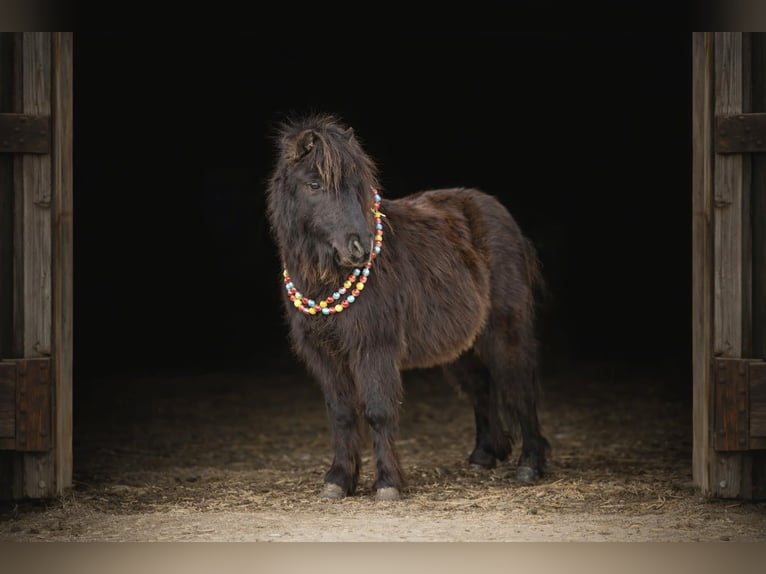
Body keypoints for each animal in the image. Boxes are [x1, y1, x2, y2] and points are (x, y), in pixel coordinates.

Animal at [265, 113, 549, 501]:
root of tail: (502, 217)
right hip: (460, 346)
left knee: (520, 386)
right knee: (481, 388)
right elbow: (341, 414)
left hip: (506, 329)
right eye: (314, 185)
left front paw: (387, 484)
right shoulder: (324, 354)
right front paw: (338, 481)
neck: (324, 279)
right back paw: (484, 456)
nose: (359, 249)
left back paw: (530, 465)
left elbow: (378, 411)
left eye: (358, 186)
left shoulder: (374, 347)